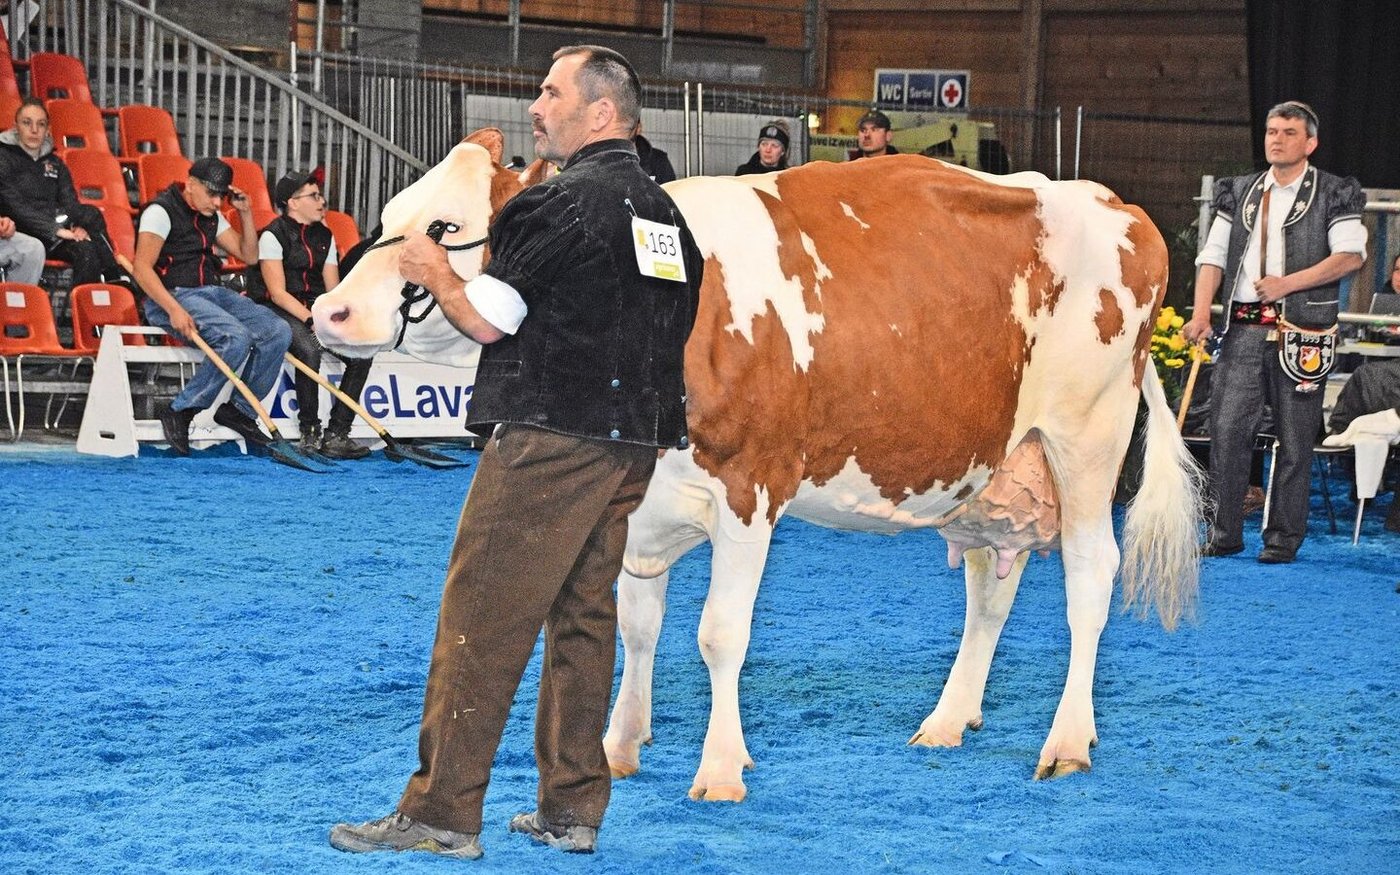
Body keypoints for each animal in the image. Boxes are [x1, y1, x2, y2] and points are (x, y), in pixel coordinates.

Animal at [313, 128, 1201, 803]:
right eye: (388, 214)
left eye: (444, 227)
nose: (328, 309)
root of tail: (1117, 204)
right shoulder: (642, 499)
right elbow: (639, 625)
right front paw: (621, 744)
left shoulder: (749, 490)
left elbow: (719, 633)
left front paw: (718, 769)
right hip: (990, 469)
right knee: (992, 590)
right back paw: (949, 720)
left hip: (1087, 436)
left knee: (1090, 576)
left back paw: (1067, 740)